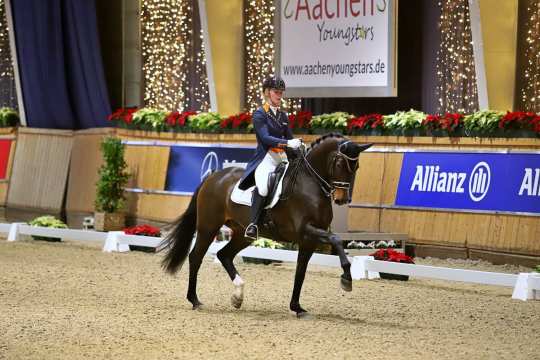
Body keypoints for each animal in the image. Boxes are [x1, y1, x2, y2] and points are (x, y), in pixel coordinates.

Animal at [160, 134, 372, 316]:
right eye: (339, 163)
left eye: (357, 166)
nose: (342, 199)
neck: (310, 185)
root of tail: (213, 177)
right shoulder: (306, 230)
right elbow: (336, 239)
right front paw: (346, 279)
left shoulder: (308, 240)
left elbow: (300, 273)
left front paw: (297, 307)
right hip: (208, 226)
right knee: (196, 257)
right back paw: (195, 300)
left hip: (242, 234)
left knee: (224, 255)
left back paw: (237, 296)